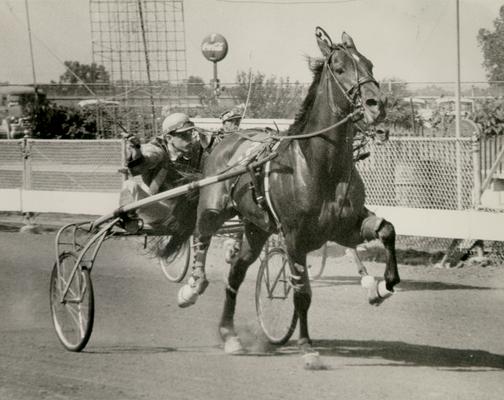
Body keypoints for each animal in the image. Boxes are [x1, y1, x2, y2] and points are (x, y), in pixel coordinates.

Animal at [177, 28, 398, 356]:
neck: (319, 164)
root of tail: (227, 140)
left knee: (236, 273)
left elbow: (387, 230)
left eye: (369, 64)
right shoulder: (295, 237)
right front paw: (307, 346)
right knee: (201, 235)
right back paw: (192, 287)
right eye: (339, 68)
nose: (377, 103)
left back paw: (229, 333)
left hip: (256, 228)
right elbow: (301, 291)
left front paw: (383, 285)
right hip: (213, 206)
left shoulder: (345, 226)